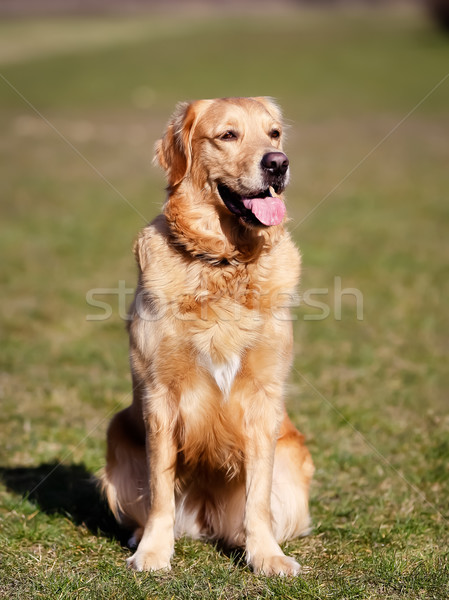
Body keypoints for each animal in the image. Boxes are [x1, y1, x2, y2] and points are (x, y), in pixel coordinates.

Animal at [101, 96, 312, 576]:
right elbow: (160, 490)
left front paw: (266, 555)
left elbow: (258, 498)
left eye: (273, 133)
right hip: (117, 436)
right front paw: (154, 552)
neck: (224, 263)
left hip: (294, 462)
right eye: (228, 135)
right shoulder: (159, 395)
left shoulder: (264, 397)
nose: (278, 163)